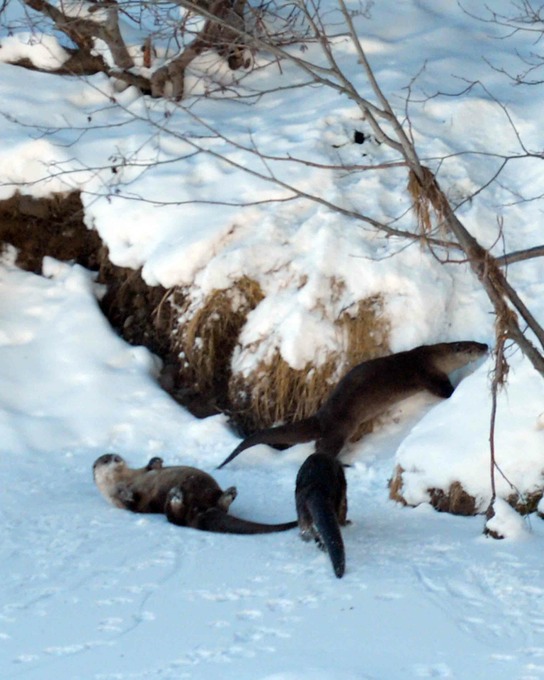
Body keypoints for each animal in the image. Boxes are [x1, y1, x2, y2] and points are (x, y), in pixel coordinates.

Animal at [93, 454, 298, 532]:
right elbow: (133, 503)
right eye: (105, 460)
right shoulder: (118, 499)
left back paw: (229, 493)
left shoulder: (141, 471)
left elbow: (150, 467)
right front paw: (128, 495)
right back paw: (176, 496)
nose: (115, 458)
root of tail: (200, 510)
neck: (127, 479)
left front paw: (156, 460)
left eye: (115, 455)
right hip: (179, 511)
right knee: (177, 519)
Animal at [215, 340, 486, 468]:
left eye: (476, 342)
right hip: (341, 428)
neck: (431, 356)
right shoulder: (426, 374)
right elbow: (442, 391)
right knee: (321, 448)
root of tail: (321, 416)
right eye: (472, 347)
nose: (485, 345)